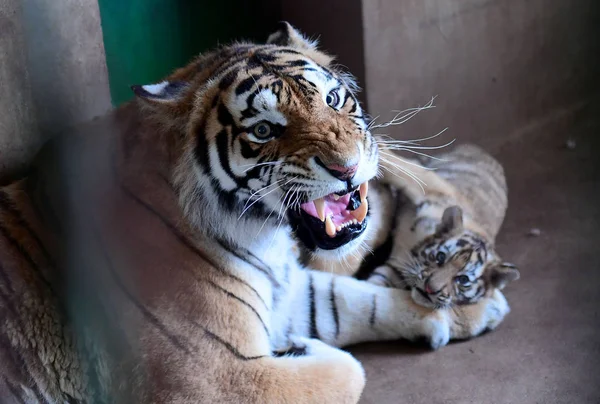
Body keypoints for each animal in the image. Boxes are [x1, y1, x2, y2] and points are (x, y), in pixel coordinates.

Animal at [0, 22, 508, 404]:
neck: (262, 235)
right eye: (264, 130)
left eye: (332, 100)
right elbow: (348, 371)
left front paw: (473, 308)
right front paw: (301, 348)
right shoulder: (219, 379)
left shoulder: (284, 288)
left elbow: (354, 299)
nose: (347, 168)